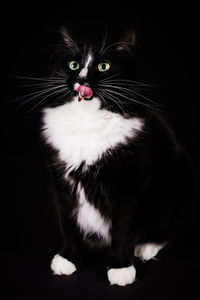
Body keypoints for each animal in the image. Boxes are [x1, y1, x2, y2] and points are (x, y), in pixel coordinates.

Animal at [38, 27, 195, 286]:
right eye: (73, 65)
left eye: (103, 67)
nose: (82, 80)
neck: (86, 123)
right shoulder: (63, 187)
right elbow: (69, 226)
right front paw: (69, 258)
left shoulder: (128, 189)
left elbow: (123, 230)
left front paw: (121, 268)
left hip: (178, 183)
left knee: (167, 229)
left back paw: (146, 248)